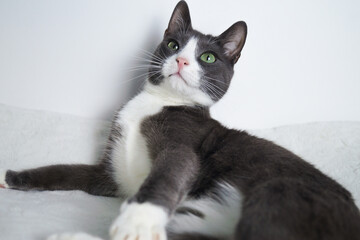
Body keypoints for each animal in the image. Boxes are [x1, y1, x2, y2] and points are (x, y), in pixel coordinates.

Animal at [0, 1, 360, 240]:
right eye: (173, 44)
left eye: (208, 57)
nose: (182, 60)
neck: (158, 102)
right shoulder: (109, 174)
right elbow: (66, 171)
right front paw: (13, 177)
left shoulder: (184, 145)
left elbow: (168, 174)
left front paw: (138, 220)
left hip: (280, 193)